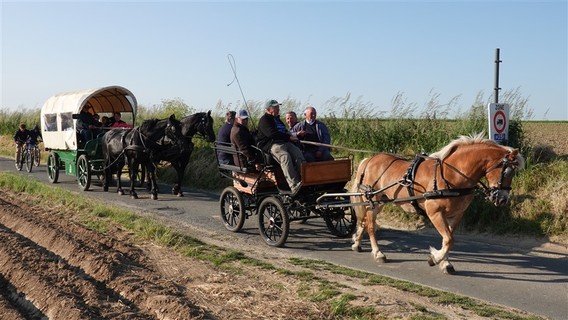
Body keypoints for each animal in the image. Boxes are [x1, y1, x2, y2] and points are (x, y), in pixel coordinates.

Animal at [350, 132, 524, 272]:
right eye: (507, 171)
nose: (502, 199)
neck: (452, 175)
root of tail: (369, 160)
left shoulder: (456, 215)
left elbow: (448, 239)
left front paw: (444, 262)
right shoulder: (435, 212)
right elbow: (448, 239)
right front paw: (435, 258)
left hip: (379, 202)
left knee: (364, 221)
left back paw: (357, 243)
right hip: (373, 200)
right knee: (371, 226)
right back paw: (378, 253)